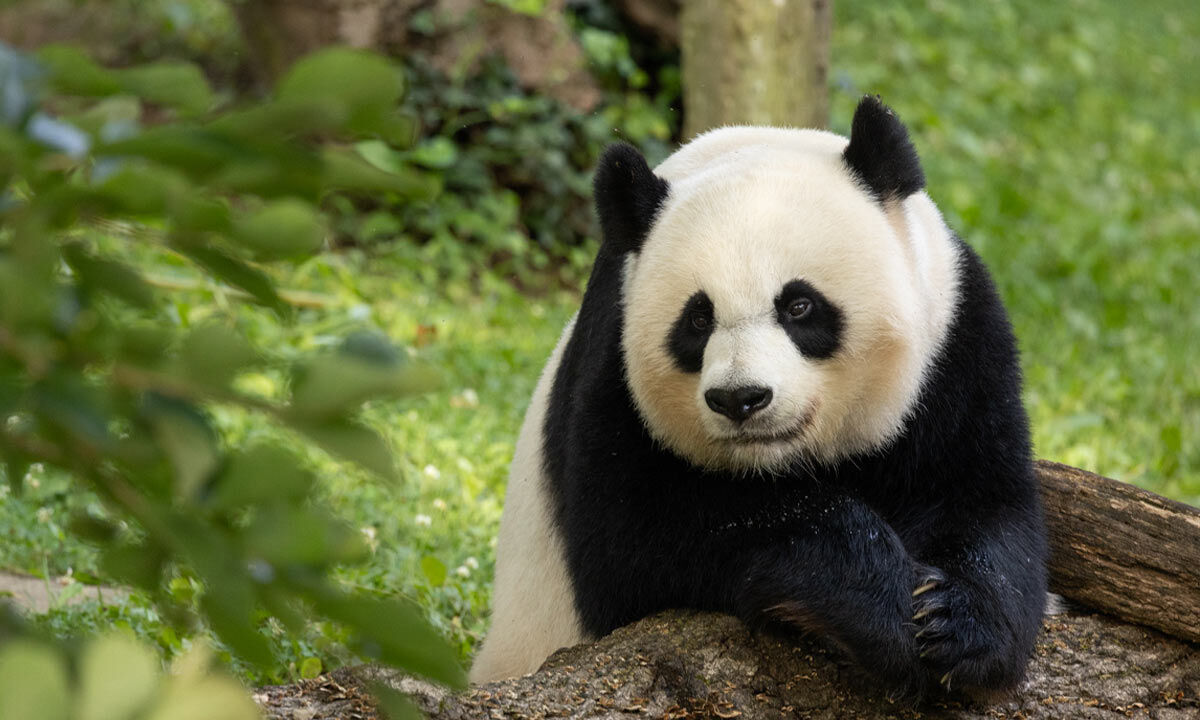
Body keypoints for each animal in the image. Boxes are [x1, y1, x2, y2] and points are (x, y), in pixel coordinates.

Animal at [470, 95, 1051, 691]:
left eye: (799, 305)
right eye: (698, 319)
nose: (739, 398)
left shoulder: (956, 342)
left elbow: (984, 498)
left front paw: (955, 625)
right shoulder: (612, 366)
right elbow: (636, 541)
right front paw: (881, 604)